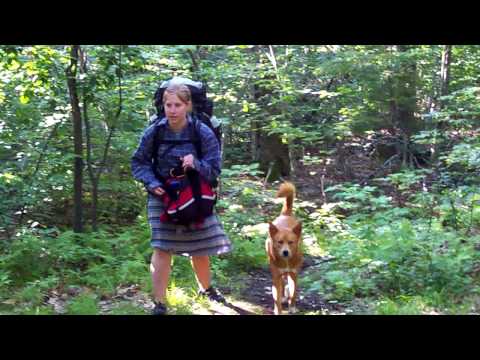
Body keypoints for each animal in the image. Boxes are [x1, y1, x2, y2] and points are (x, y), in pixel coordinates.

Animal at [264, 181, 302, 314]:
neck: (286, 261)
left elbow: (293, 293)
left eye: (291, 242)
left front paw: (292, 307)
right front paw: (278, 310)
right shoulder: (276, 276)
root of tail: (285, 215)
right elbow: (277, 298)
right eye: (279, 242)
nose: (285, 252)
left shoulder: (294, 274)